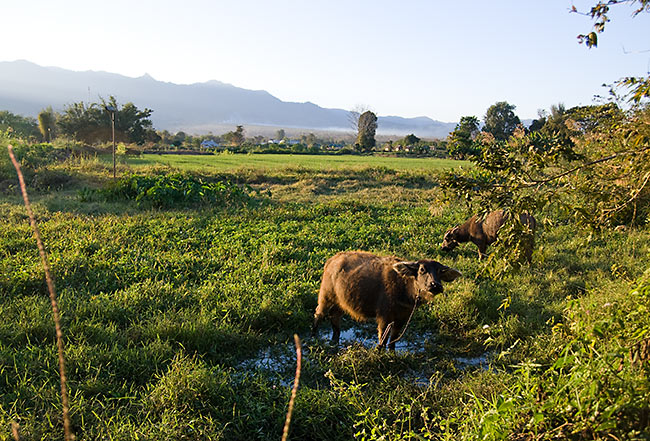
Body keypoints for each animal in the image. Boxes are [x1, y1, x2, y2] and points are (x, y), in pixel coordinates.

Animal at [310, 251, 458, 350]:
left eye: (439, 271)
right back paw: (314, 335)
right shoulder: (384, 317)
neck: (403, 286)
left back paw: (335, 337)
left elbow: (393, 339)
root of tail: (331, 260)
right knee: (319, 313)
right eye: (422, 269)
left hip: (341, 301)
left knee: (335, 315)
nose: (435, 285)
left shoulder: (402, 317)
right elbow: (383, 338)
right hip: (326, 296)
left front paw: (391, 351)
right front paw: (380, 350)